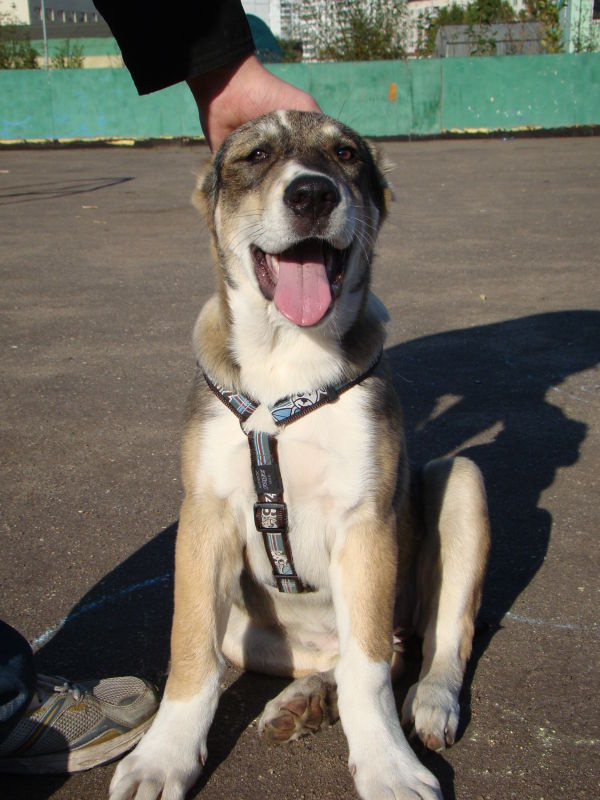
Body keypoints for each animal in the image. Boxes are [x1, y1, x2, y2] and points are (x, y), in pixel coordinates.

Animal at [109, 111, 490, 800]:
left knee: (428, 644)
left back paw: (428, 702)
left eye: (346, 155)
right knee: (333, 655)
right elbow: (191, 654)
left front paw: (388, 767)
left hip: (462, 479)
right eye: (256, 155)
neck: (289, 356)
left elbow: (370, 672)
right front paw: (163, 758)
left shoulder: (367, 525)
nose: (312, 194)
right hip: (247, 623)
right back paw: (304, 700)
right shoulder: (203, 518)